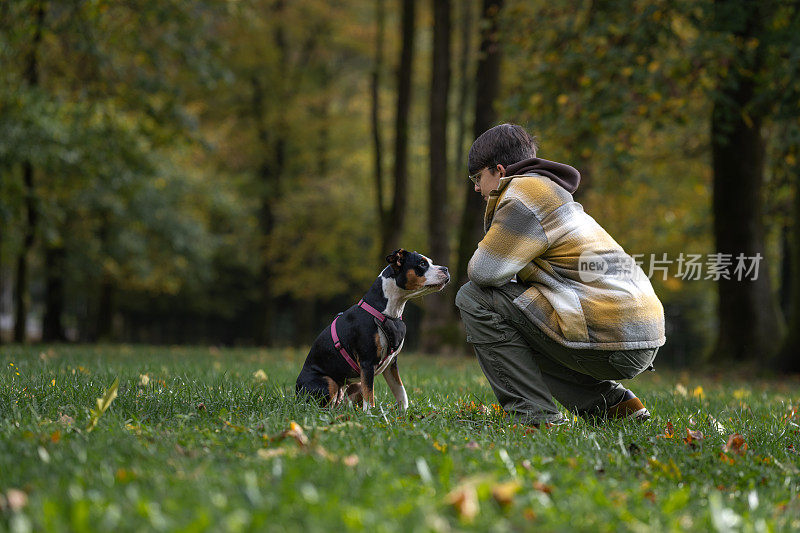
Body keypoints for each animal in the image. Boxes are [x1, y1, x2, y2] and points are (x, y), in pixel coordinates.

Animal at [296, 249, 446, 412]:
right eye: (422, 263)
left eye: (430, 262)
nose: (445, 269)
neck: (389, 311)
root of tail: (296, 393)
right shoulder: (367, 363)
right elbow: (370, 395)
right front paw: (370, 414)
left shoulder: (391, 364)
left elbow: (400, 390)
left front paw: (403, 412)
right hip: (329, 382)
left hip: (355, 384)